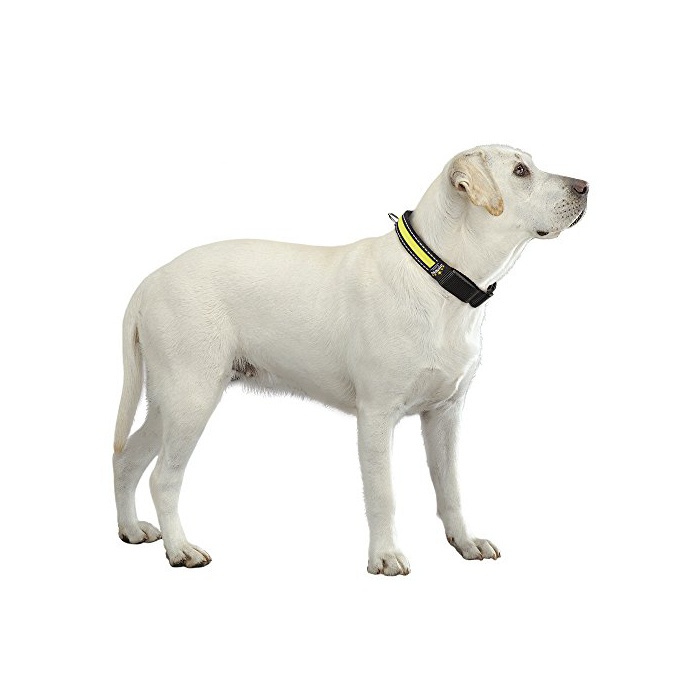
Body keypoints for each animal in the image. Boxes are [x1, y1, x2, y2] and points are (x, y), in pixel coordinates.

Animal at [113, 145, 588, 573]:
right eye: (521, 171)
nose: (585, 186)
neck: (437, 276)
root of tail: (150, 281)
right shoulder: (376, 415)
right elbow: (383, 494)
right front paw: (386, 556)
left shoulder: (445, 415)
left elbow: (450, 488)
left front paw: (465, 543)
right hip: (192, 399)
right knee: (163, 477)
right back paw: (180, 549)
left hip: (169, 403)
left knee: (126, 459)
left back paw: (131, 530)